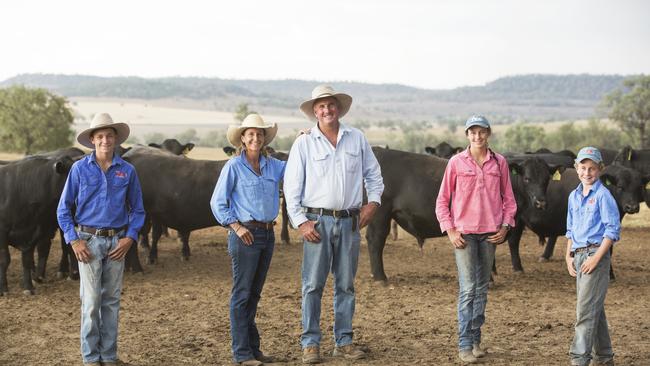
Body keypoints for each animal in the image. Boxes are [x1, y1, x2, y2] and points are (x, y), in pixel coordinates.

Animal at [0, 149, 81, 294]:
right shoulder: (3, 230)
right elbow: (5, 259)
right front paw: (3, 288)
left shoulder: (33, 231)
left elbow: (27, 259)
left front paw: (28, 287)